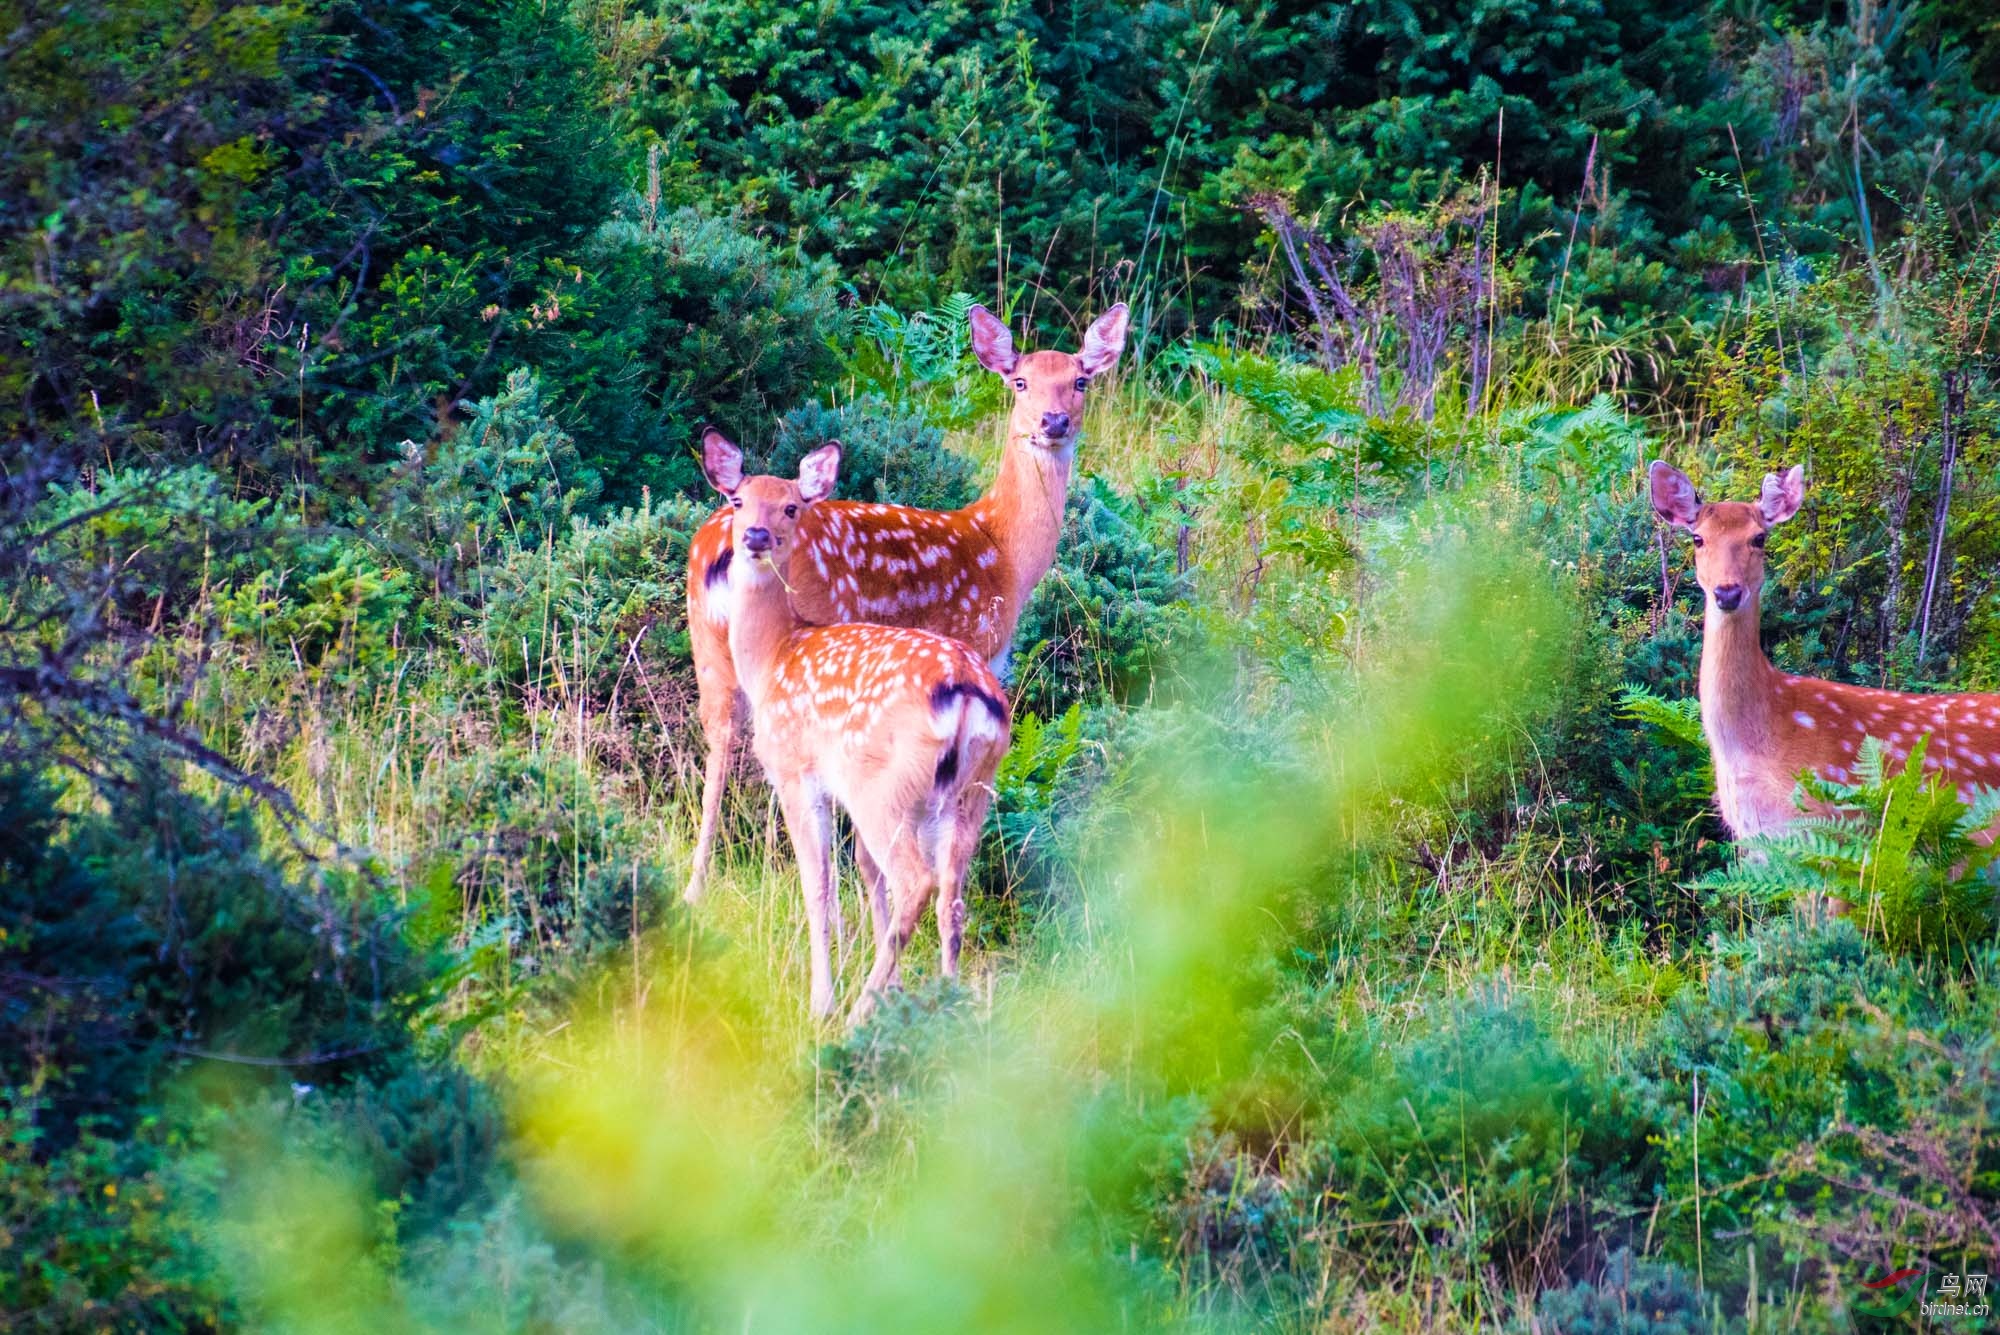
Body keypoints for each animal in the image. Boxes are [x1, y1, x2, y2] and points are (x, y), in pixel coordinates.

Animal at [680, 300, 1129, 905]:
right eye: (1020, 382)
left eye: (1080, 381)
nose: (1052, 422)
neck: (1004, 552)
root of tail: (715, 546)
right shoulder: (978, 643)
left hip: (706, 644)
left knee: (721, 741)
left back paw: (696, 887)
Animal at [701, 432, 1011, 1024]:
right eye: (738, 501)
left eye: (791, 507)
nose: (755, 536)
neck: (773, 655)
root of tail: (965, 692)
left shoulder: (795, 772)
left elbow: (818, 884)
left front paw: (819, 1000)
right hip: (973, 790)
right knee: (953, 894)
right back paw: (948, 1004)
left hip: (880, 786)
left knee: (914, 880)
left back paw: (859, 1011)